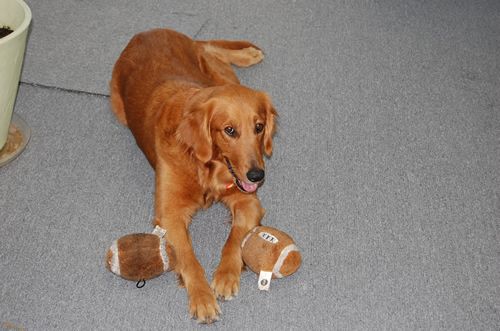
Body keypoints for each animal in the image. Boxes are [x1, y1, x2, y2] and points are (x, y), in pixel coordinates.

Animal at [109, 29, 278, 324]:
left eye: (259, 127)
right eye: (229, 130)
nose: (257, 175)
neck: (207, 166)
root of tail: (146, 32)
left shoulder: (248, 202)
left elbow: (234, 239)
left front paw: (225, 276)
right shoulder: (170, 215)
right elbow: (188, 259)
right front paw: (202, 298)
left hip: (219, 73)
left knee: (215, 50)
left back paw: (248, 55)